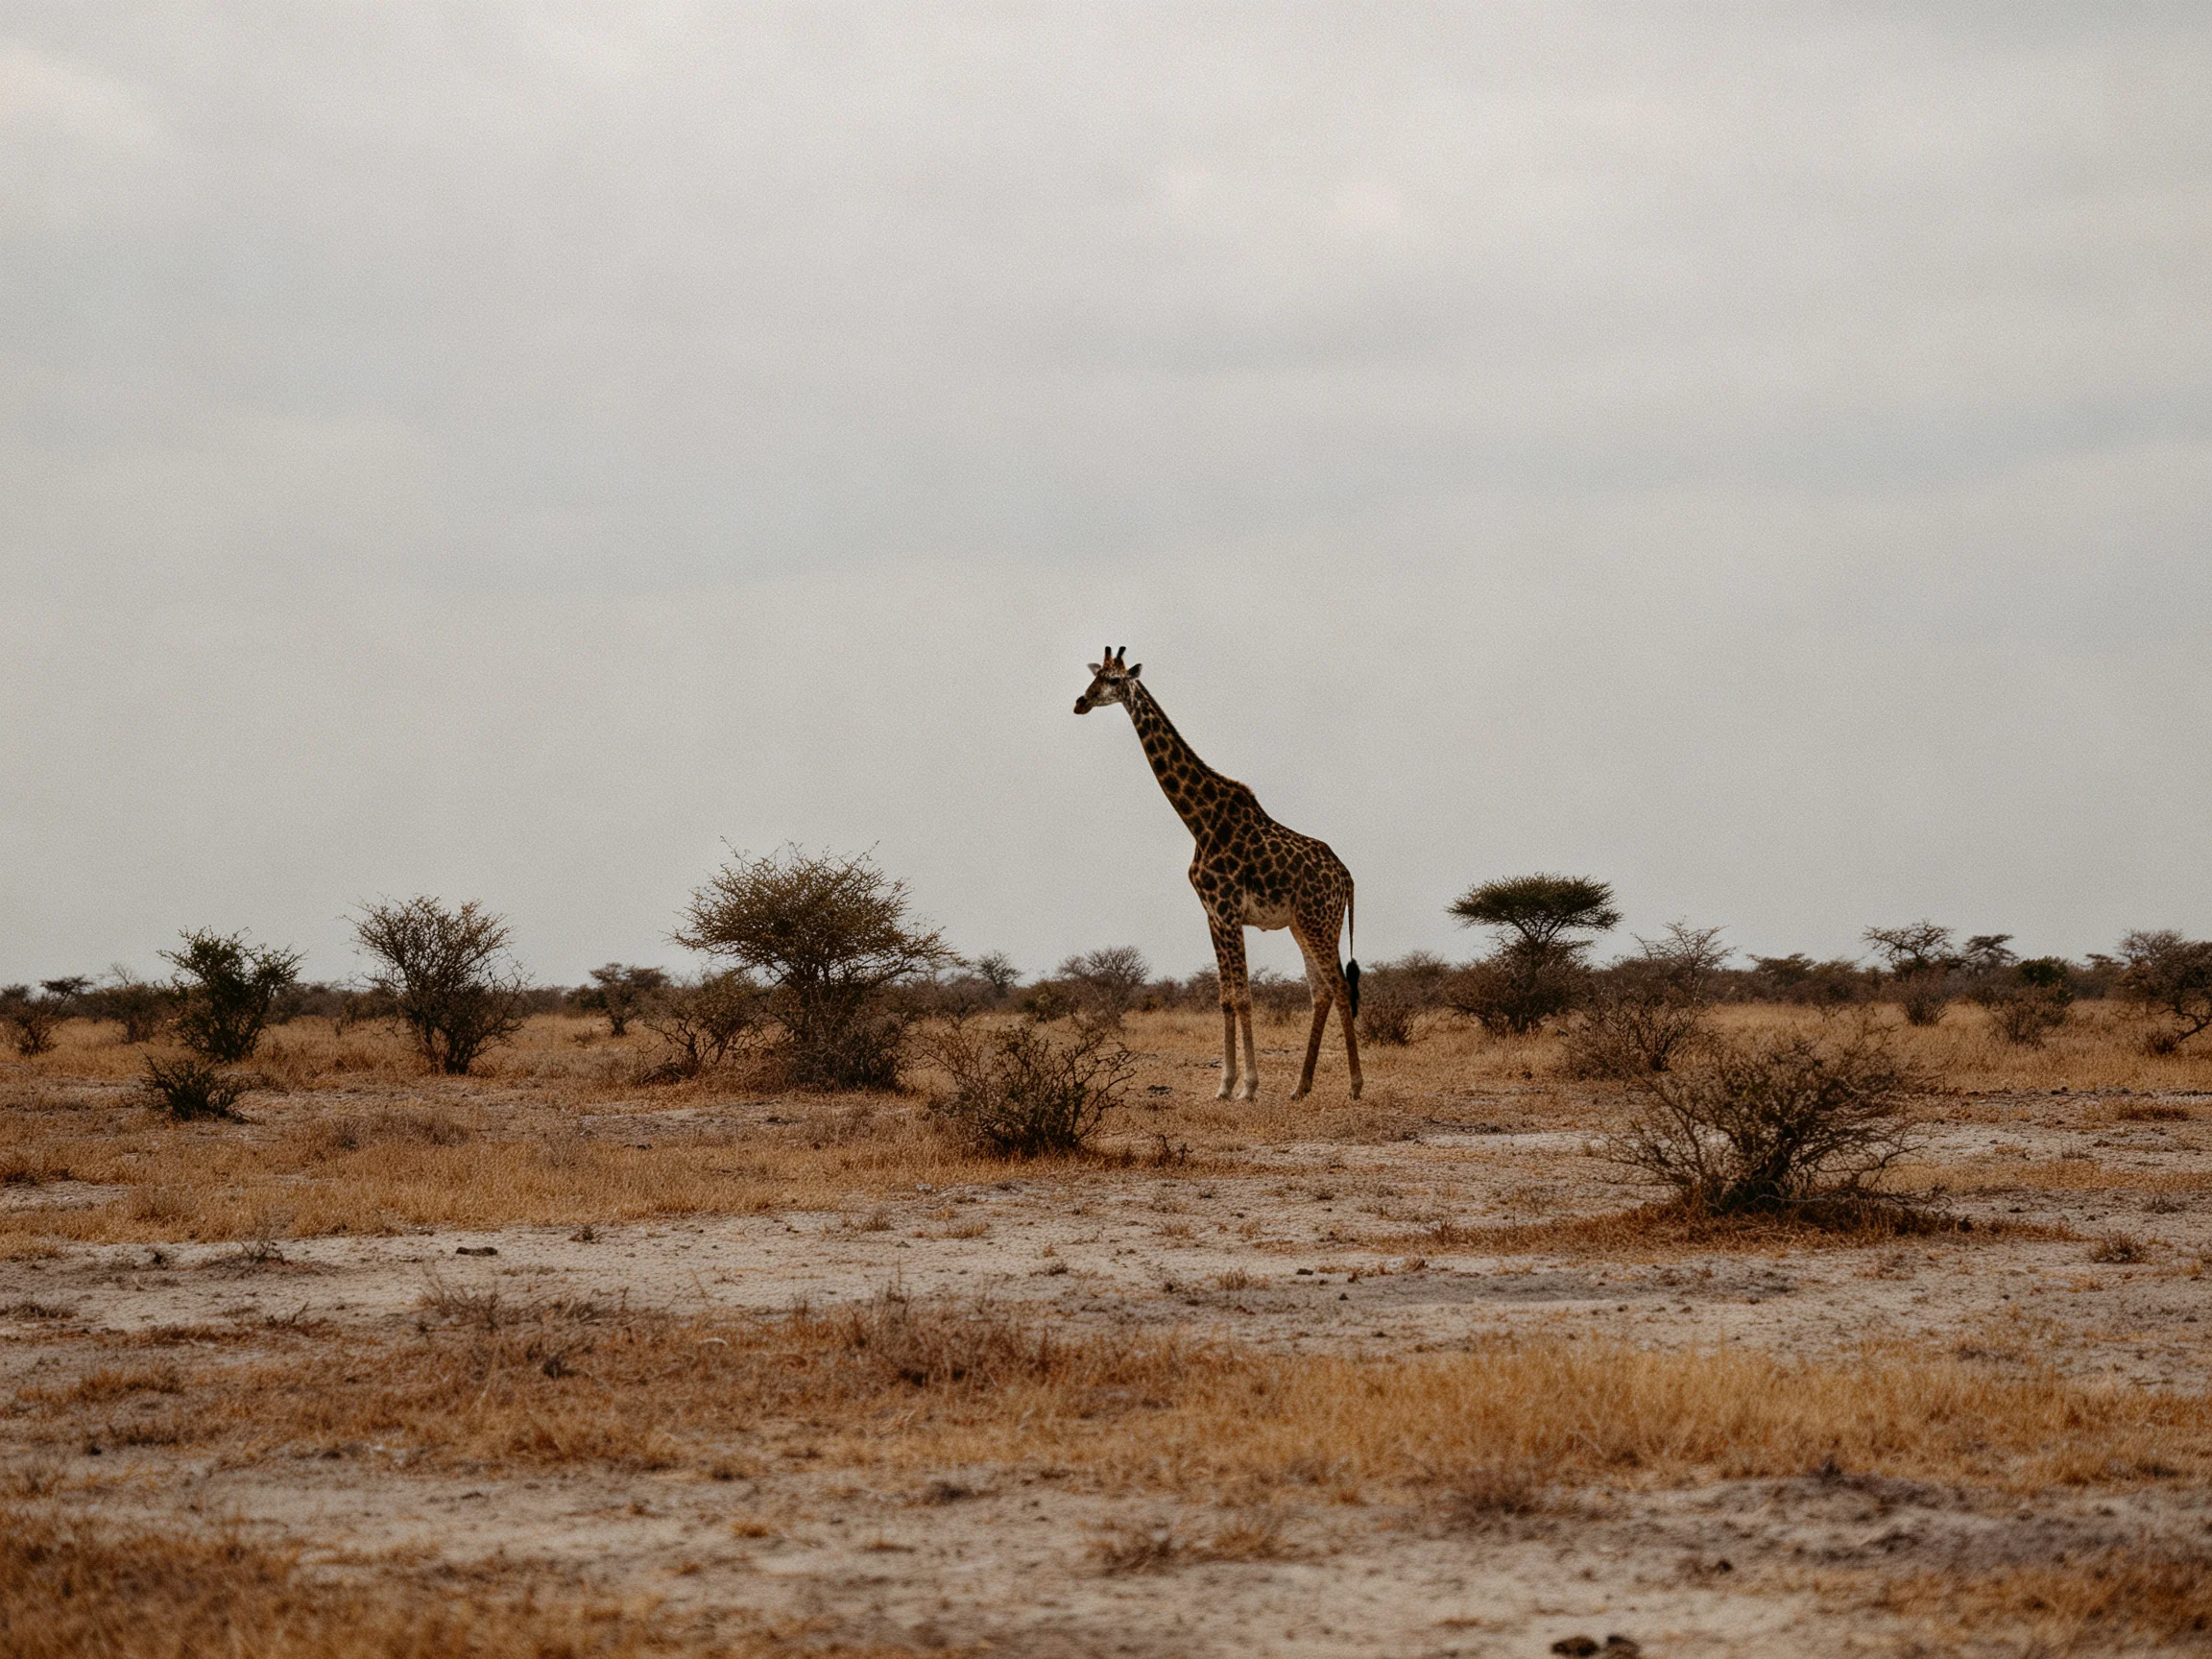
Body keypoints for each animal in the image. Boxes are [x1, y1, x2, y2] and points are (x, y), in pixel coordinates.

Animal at [1073, 647, 1363, 1102]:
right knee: (1323, 990)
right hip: (1302, 924)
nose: (1081, 702)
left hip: (1320, 922)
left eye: (1115, 681)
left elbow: (1243, 997)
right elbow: (1225, 997)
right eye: (1095, 675)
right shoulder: (1211, 914)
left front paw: (1248, 1087)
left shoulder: (1227, 909)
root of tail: (1347, 877)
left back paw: (1354, 1085)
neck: (1199, 821)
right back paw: (1301, 1087)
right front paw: (1225, 1086)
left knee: (1339, 985)